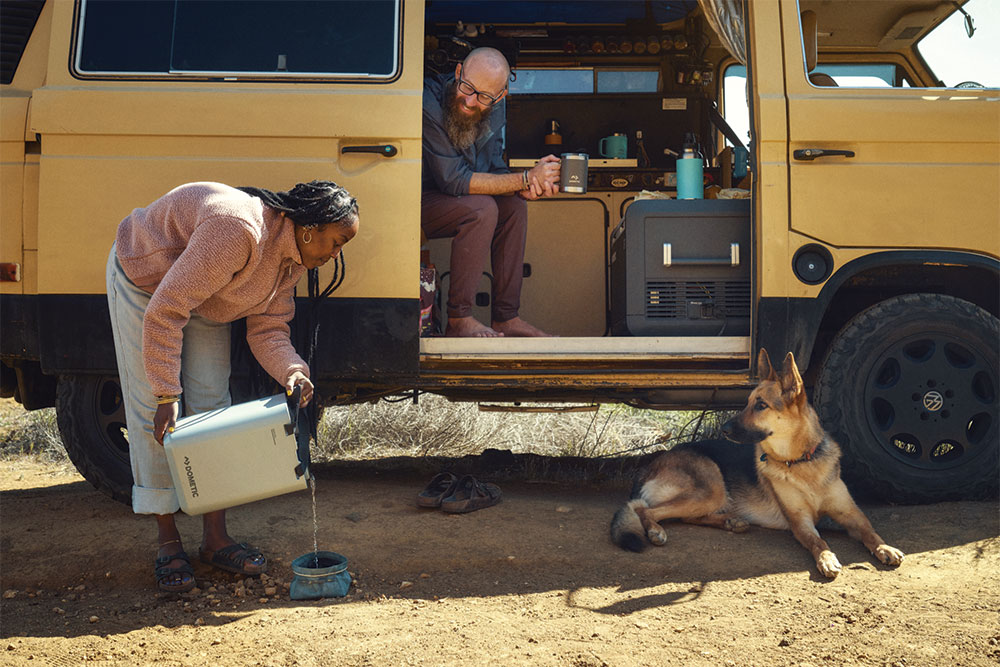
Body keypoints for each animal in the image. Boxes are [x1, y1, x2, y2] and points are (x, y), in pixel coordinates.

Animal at [608, 350, 908, 580]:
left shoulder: (850, 513)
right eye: (748, 402)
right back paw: (657, 530)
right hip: (711, 487)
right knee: (646, 510)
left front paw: (886, 548)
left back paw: (731, 521)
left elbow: (870, 531)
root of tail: (651, 465)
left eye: (761, 405)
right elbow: (818, 540)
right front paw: (826, 558)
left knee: (684, 515)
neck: (802, 463)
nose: (725, 429)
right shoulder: (801, 522)